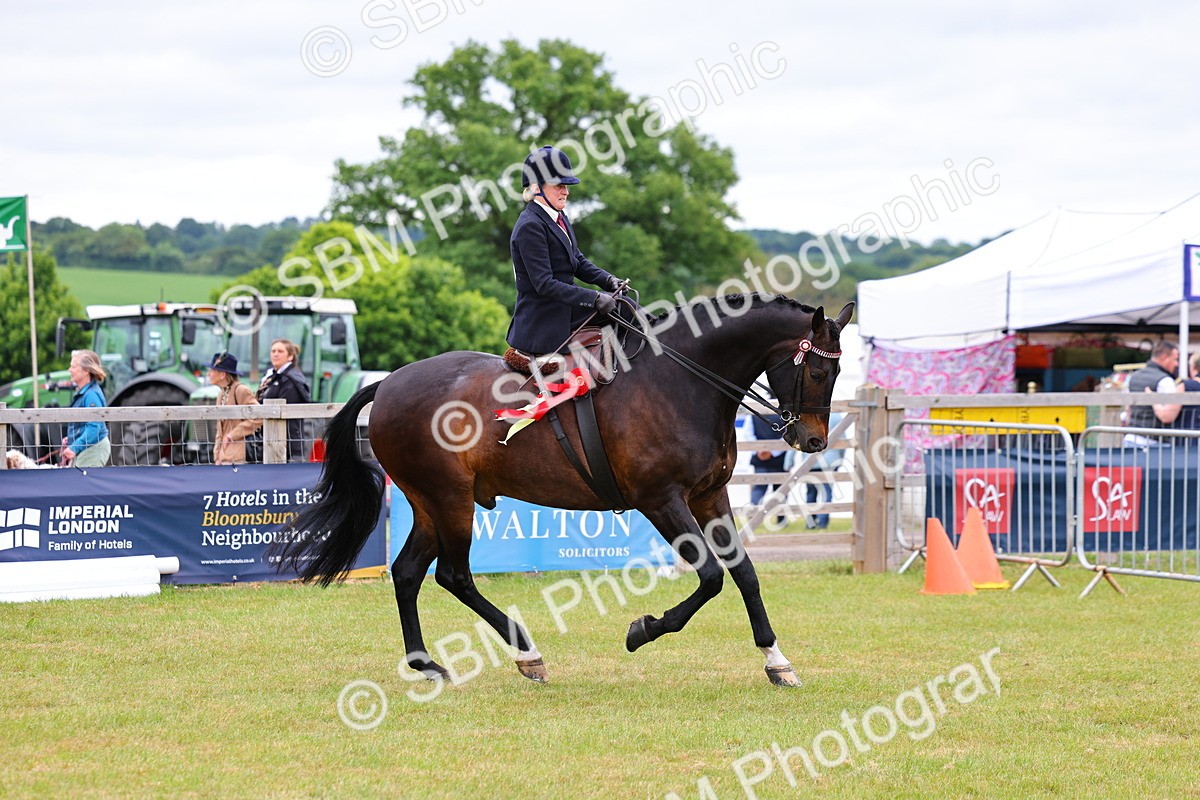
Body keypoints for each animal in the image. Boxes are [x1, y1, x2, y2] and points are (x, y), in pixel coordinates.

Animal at [271, 294, 854, 687]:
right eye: (817, 370)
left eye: (838, 371)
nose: (812, 440)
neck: (681, 382)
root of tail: (388, 382)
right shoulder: (661, 500)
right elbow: (711, 577)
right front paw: (643, 629)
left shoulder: (710, 497)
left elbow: (745, 574)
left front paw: (777, 661)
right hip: (449, 500)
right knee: (453, 576)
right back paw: (526, 653)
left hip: (429, 504)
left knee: (410, 572)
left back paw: (426, 664)